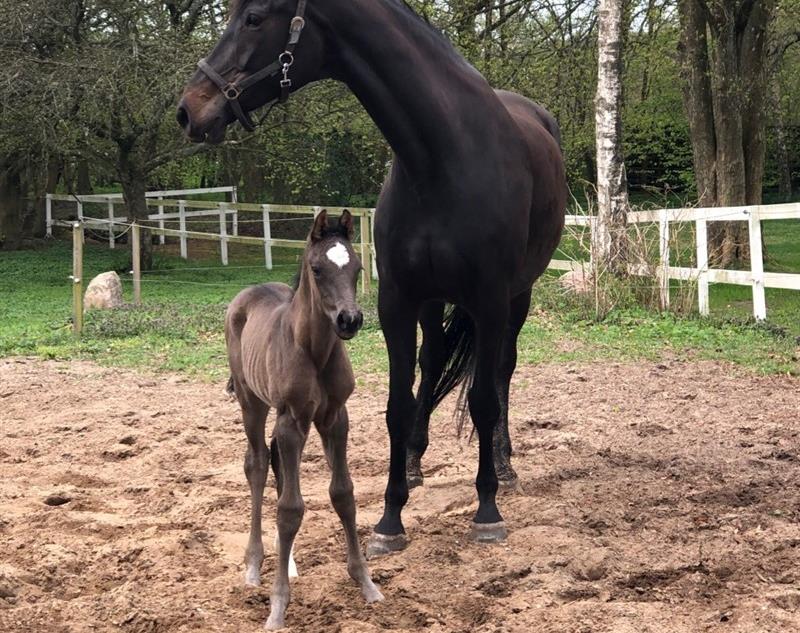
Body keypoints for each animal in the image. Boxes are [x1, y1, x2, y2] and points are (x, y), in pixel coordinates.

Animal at [225, 211, 384, 628]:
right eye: (316, 268)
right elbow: (290, 509)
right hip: (252, 402)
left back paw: (291, 563)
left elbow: (343, 494)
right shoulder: (291, 420)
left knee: (276, 464)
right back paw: (253, 565)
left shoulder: (335, 417)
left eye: (357, 267)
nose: (349, 320)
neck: (314, 349)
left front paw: (366, 583)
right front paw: (278, 606)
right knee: (257, 464)